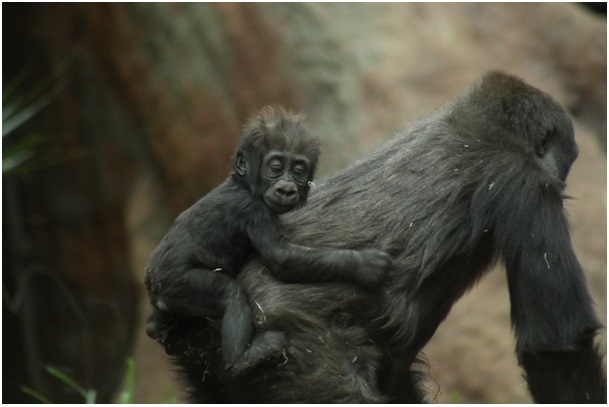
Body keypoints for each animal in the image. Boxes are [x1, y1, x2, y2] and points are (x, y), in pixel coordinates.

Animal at [144, 107, 390, 374]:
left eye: (298, 170)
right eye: (276, 167)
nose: (286, 189)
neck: (243, 184)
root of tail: (152, 281)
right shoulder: (253, 210)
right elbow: (282, 257)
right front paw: (363, 263)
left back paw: (156, 326)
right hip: (177, 282)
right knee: (230, 294)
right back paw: (242, 357)